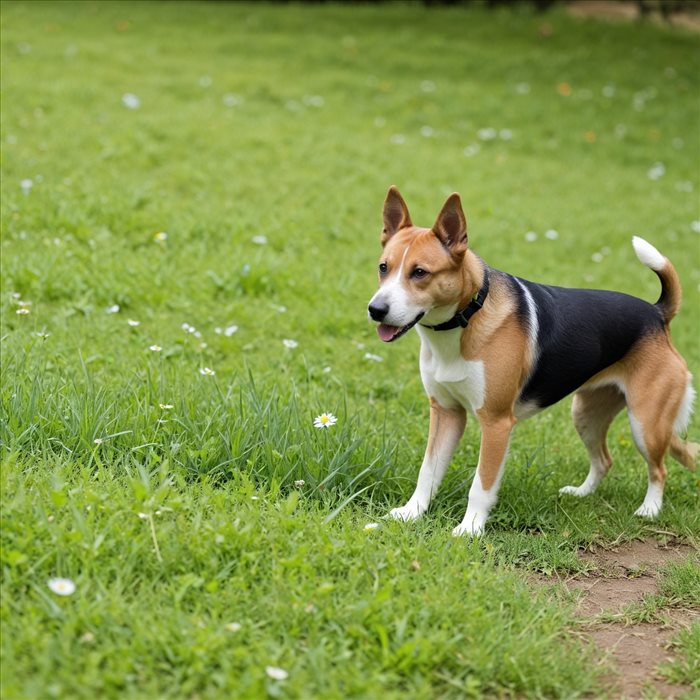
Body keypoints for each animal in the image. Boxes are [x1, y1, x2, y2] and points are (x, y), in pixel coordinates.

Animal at [370, 186, 696, 536]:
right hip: (586, 414)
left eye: (420, 273)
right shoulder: (446, 412)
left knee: (659, 470)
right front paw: (410, 513)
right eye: (383, 268)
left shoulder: (496, 422)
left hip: (645, 424)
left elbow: (481, 485)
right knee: (604, 460)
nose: (375, 309)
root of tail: (657, 313)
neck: (466, 317)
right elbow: (428, 472)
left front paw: (470, 529)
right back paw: (581, 493)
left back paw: (649, 509)